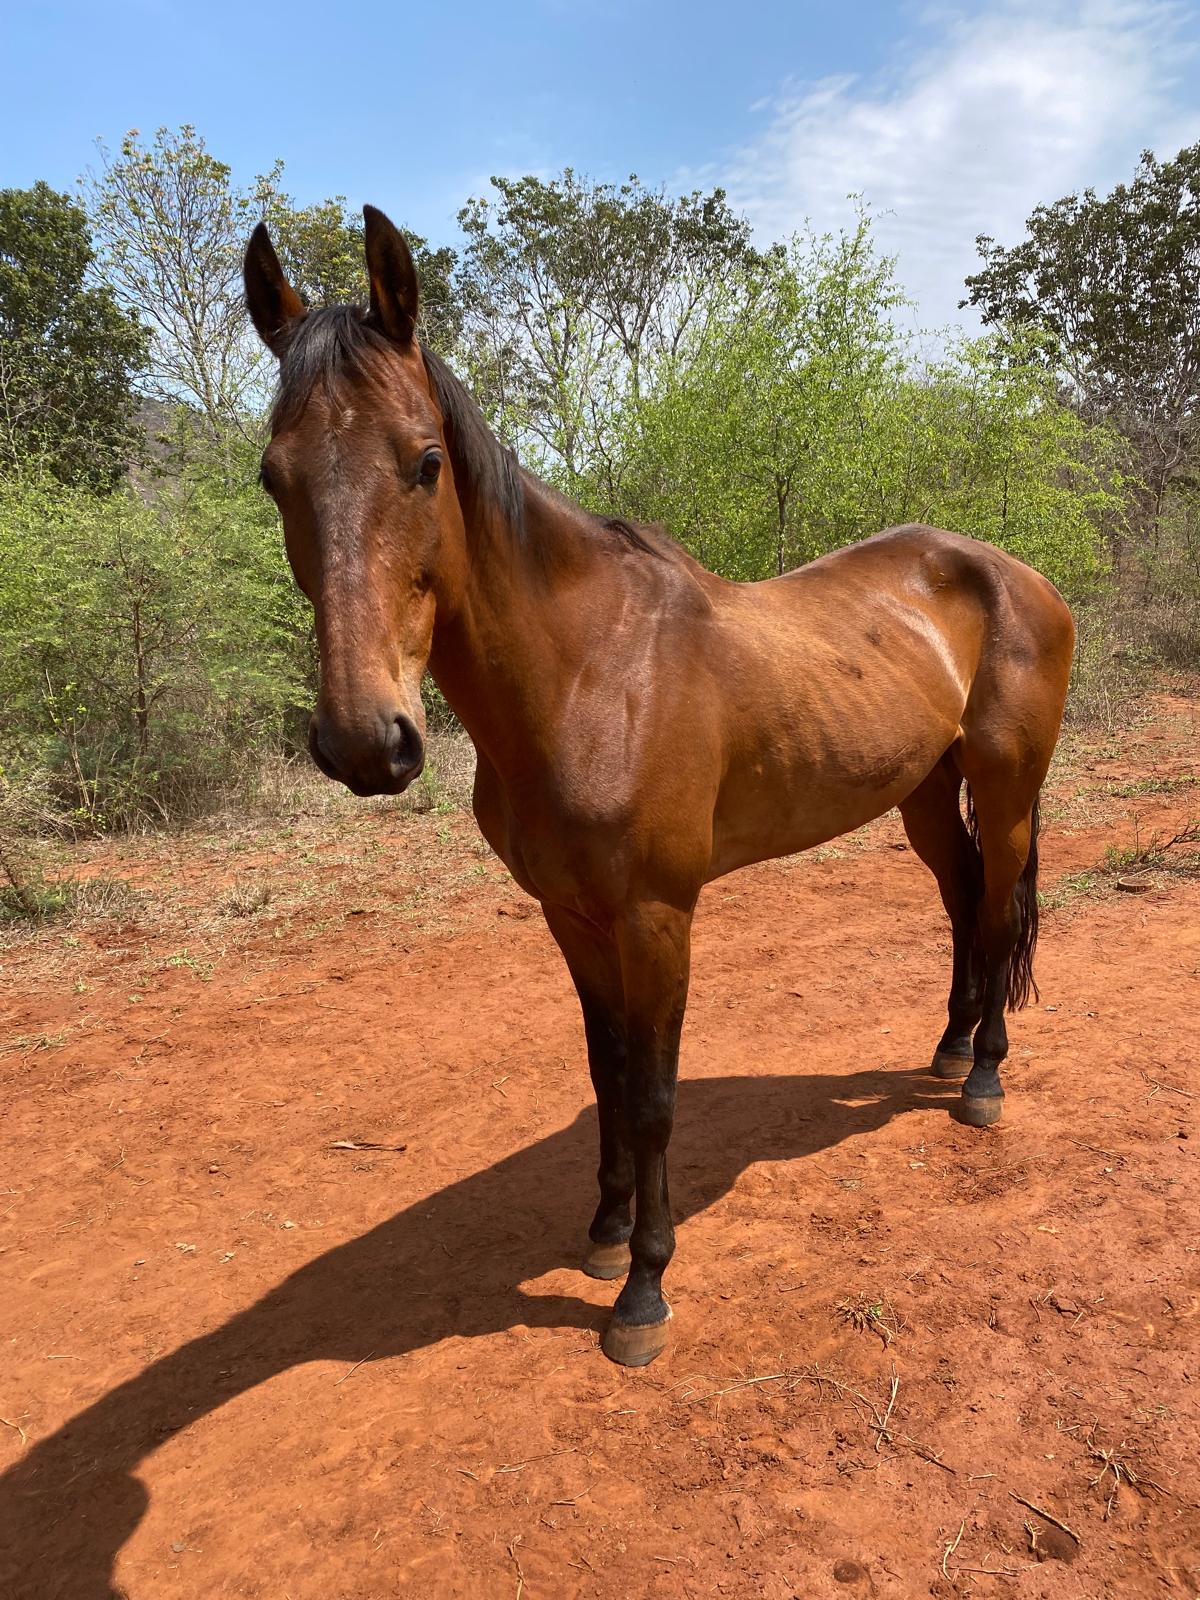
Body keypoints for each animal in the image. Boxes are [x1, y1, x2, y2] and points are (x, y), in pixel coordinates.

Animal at [243, 207, 1075, 1367]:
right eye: (273, 476)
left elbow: (651, 1095)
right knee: (960, 903)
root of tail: (1018, 575)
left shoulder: (656, 916)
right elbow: (604, 1072)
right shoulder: (571, 915)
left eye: (424, 463)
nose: (368, 742)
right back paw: (949, 1051)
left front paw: (642, 1288)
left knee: (996, 913)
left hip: (1004, 789)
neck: (592, 672)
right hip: (922, 793)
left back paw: (985, 1080)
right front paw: (601, 1232)